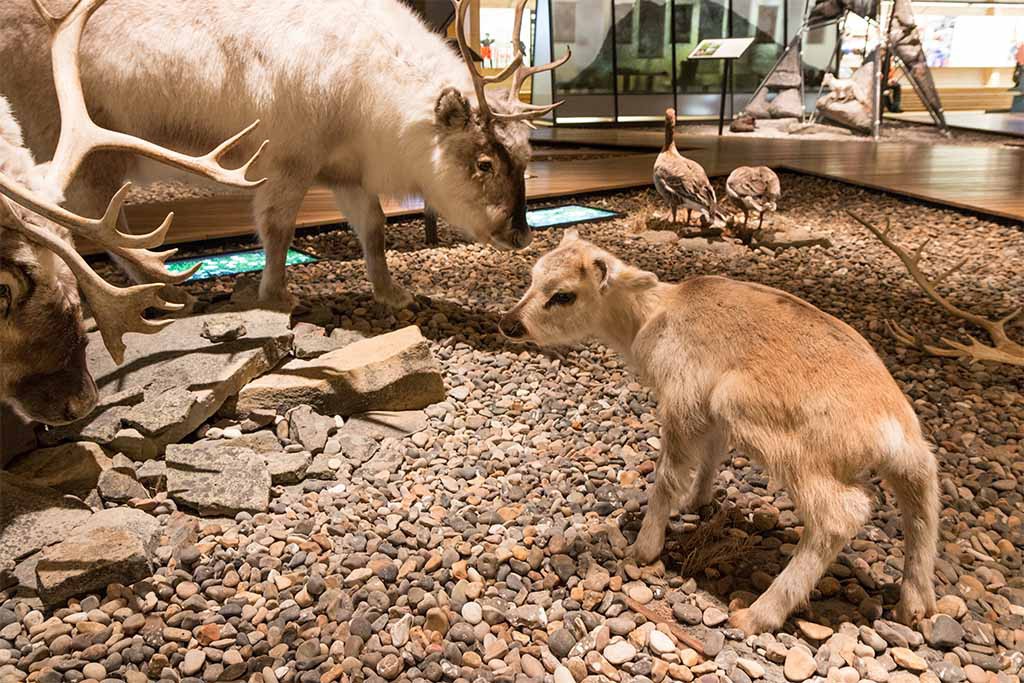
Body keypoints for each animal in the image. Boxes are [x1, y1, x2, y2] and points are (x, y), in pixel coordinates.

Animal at [499, 232, 937, 638]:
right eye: (532, 277)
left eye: (563, 295)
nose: (509, 323)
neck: (649, 319)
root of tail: (892, 430)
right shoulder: (709, 414)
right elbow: (710, 455)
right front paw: (696, 502)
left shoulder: (681, 402)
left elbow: (668, 475)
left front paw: (643, 549)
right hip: (911, 460)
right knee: (922, 498)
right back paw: (915, 608)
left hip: (784, 442)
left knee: (840, 515)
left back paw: (756, 615)